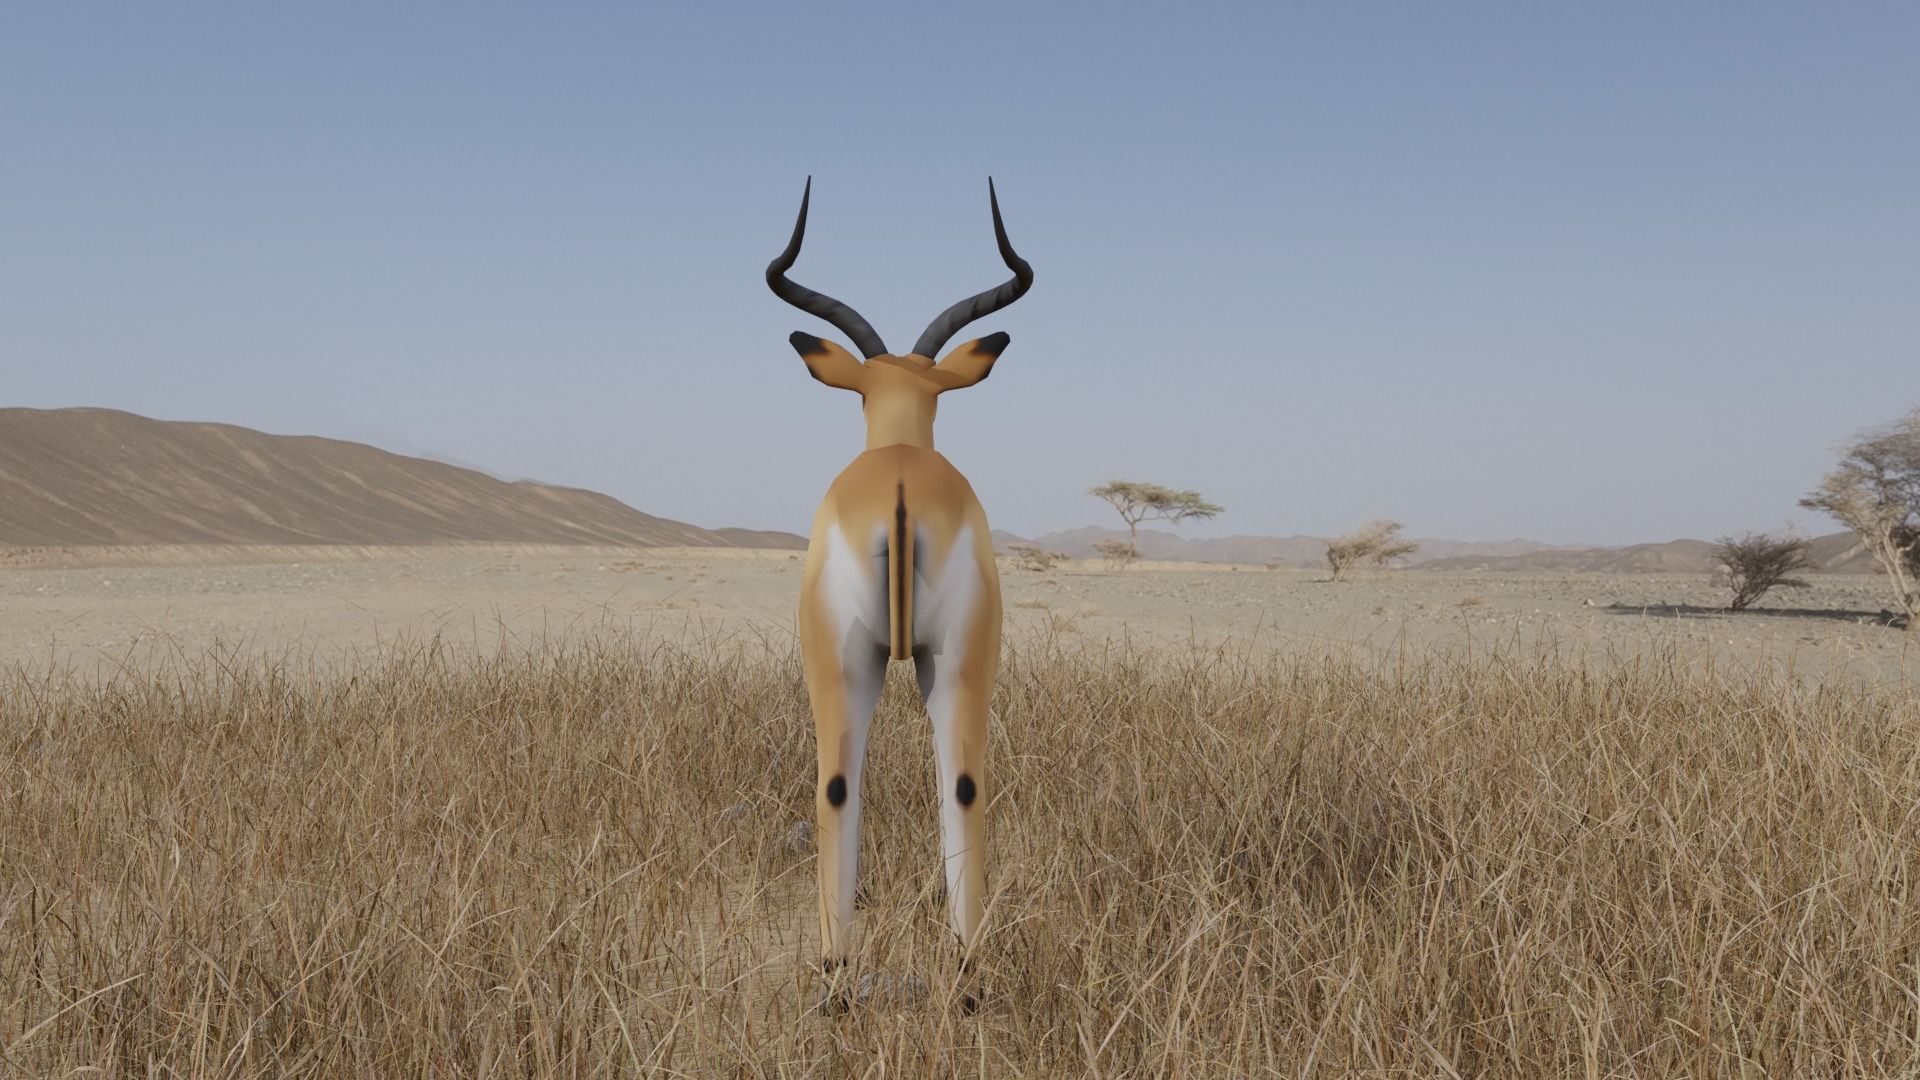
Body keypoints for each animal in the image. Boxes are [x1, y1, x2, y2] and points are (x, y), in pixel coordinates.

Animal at [767, 178, 1032, 1005]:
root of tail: (901, 484)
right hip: (953, 661)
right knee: (953, 786)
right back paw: (958, 979)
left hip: (859, 663)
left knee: (847, 787)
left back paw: (842, 980)